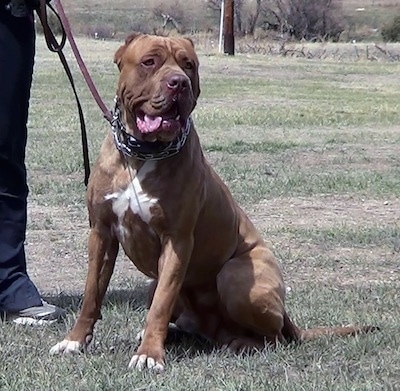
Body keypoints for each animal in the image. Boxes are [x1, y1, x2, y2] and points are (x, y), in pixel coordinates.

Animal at [49, 33, 376, 370]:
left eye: (188, 65)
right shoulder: (101, 233)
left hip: (237, 276)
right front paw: (75, 340)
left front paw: (149, 354)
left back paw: (240, 343)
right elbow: (92, 292)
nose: (178, 83)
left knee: (274, 338)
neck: (143, 154)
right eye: (149, 62)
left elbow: (161, 303)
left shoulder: (177, 240)